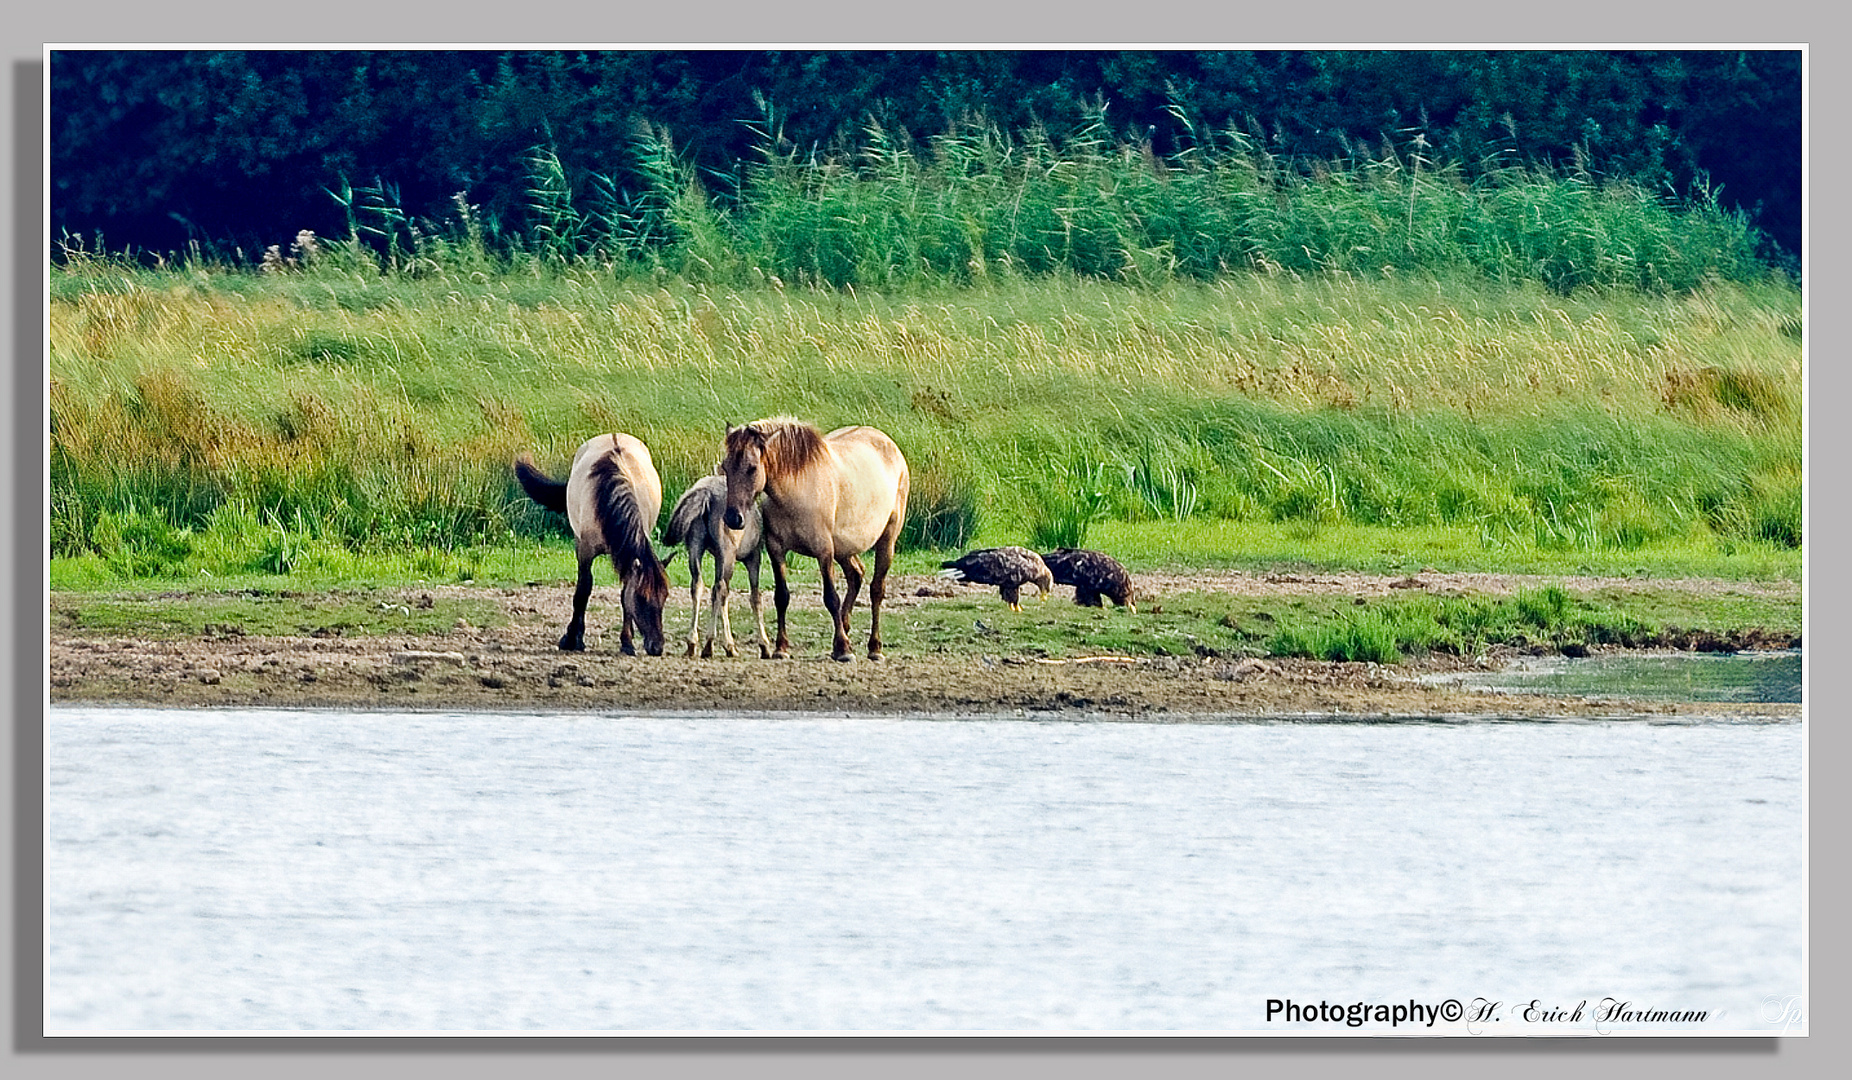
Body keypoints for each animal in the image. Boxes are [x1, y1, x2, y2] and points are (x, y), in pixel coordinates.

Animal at [514, 433, 674, 655]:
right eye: (641, 598)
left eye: (664, 597)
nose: (657, 647)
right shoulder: (584, 550)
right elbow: (583, 591)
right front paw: (573, 639)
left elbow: (624, 594)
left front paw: (627, 642)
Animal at [666, 474, 766, 659]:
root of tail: (706, 493)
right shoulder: (753, 556)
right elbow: (755, 597)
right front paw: (764, 645)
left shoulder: (717, 557)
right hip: (728, 554)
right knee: (722, 589)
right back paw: (726, 645)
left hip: (695, 547)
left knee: (698, 585)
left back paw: (692, 643)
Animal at [718, 418, 907, 663]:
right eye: (725, 467)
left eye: (752, 468)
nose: (733, 518)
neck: (796, 488)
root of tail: (890, 445)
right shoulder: (776, 549)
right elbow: (781, 596)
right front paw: (781, 648)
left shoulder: (824, 550)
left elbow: (831, 598)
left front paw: (844, 649)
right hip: (844, 549)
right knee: (856, 575)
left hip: (886, 540)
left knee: (876, 590)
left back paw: (874, 648)